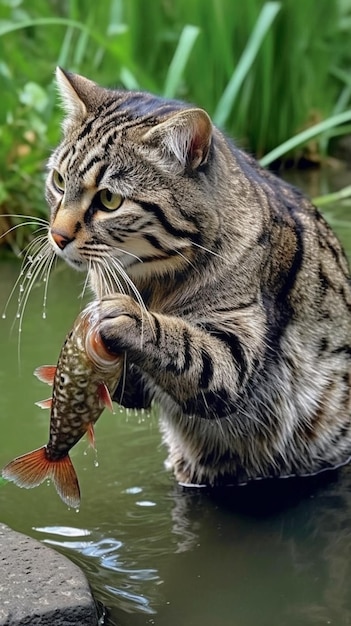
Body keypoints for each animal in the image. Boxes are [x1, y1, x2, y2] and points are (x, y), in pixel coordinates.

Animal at [46, 69, 351, 488]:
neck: (153, 282)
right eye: (59, 181)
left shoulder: (234, 356)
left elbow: (189, 349)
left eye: (109, 200)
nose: (57, 236)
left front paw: (128, 317)